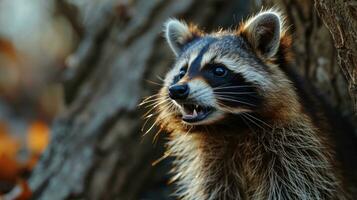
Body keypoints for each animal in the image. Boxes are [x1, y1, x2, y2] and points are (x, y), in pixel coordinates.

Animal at [145, 9, 350, 200]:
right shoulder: (212, 163)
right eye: (182, 72)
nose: (177, 90)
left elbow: (297, 187)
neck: (230, 125)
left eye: (219, 70)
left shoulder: (298, 148)